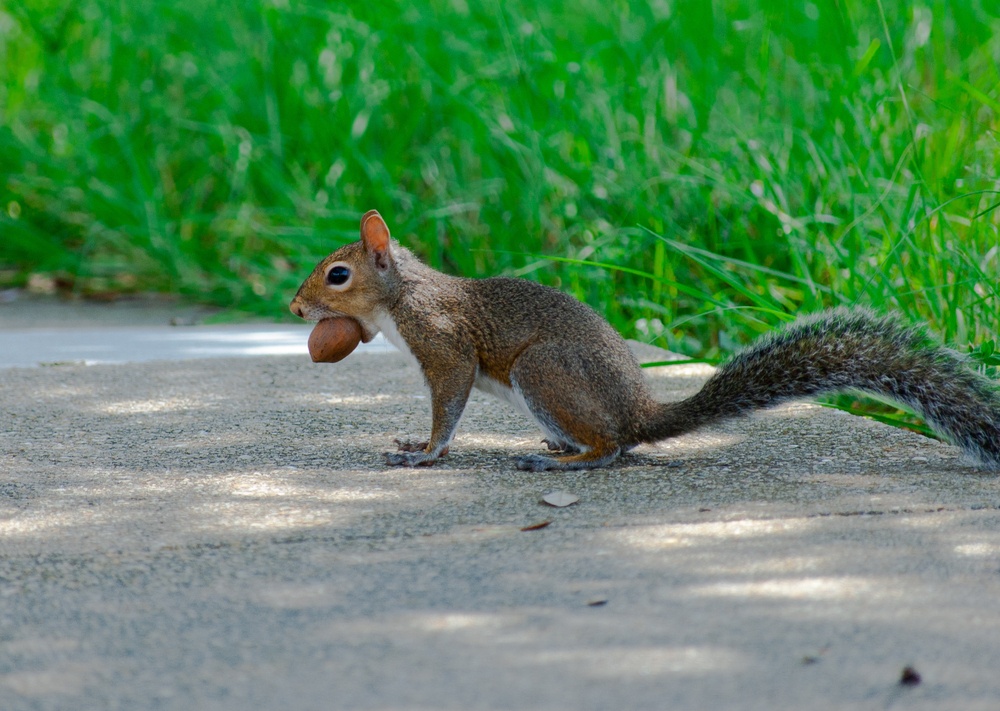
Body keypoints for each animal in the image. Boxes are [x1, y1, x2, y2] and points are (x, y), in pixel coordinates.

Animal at [290, 209, 1000, 470]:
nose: (295, 306)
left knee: (611, 450)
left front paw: (427, 453)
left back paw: (565, 459)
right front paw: (416, 445)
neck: (404, 296)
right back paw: (557, 445)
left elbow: (449, 404)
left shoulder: (445, 347)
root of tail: (640, 414)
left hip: (542, 373)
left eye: (338, 274)